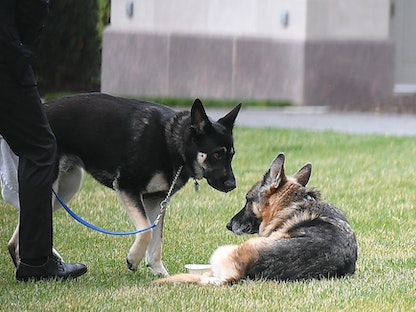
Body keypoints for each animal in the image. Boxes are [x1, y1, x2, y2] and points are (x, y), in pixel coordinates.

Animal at [6, 92, 240, 276]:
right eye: (217, 154)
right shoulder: (128, 187)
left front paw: (161, 273)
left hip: (65, 187)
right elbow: (146, 231)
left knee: (16, 236)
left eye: (232, 155)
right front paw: (133, 259)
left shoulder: (157, 200)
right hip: (52, 184)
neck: (173, 142)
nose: (233, 185)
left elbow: (156, 241)